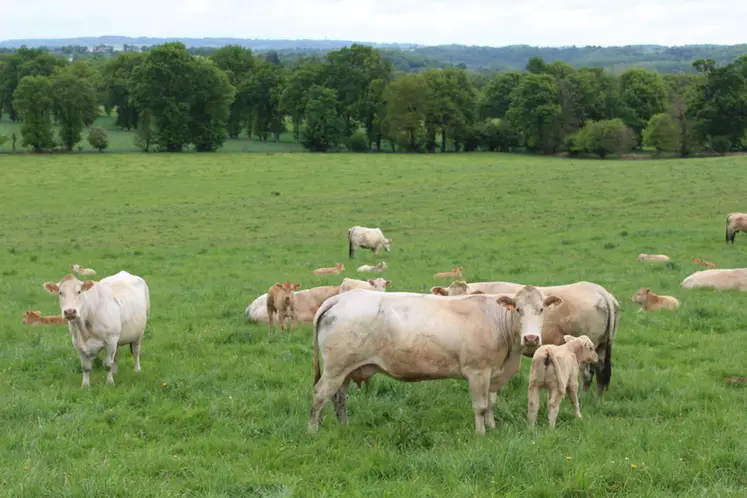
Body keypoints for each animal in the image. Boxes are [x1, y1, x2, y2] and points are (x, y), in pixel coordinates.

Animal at [307, 286, 564, 435]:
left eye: (541, 309)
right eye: (518, 309)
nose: (531, 338)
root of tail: (339, 299)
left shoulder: (493, 373)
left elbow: (491, 404)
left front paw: (492, 428)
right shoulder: (477, 371)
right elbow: (480, 406)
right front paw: (481, 434)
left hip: (345, 370)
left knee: (339, 398)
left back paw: (344, 427)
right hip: (335, 368)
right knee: (320, 394)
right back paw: (313, 431)